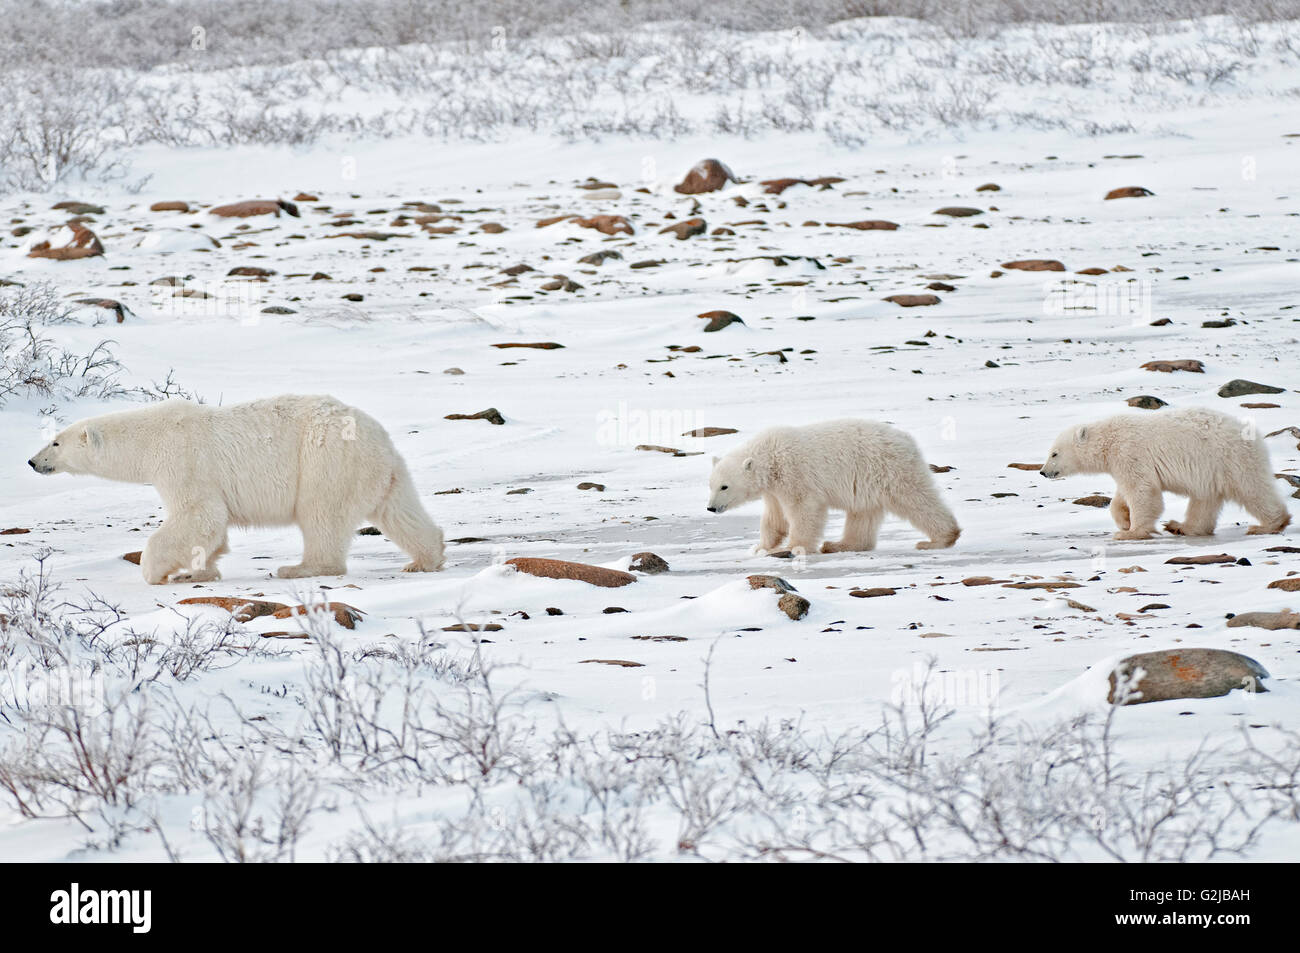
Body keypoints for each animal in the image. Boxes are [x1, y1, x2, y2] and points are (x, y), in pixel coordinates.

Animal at [26, 392, 447, 579]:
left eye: (56, 442)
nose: (32, 461)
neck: (150, 437)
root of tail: (379, 439)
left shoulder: (184, 461)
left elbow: (198, 514)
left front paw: (155, 571)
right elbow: (212, 528)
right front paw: (199, 571)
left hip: (323, 460)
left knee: (321, 515)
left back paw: (299, 568)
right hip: (379, 470)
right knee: (400, 510)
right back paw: (424, 559)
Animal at [707, 418, 961, 556]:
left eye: (724, 487)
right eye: (710, 485)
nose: (710, 508)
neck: (771, 456)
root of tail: (908, 441)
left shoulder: (795, 475)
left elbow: (804, 509)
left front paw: (794, 547)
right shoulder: (774, 489)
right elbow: (774, 518)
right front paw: (760, 547)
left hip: (889, 469)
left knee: (916, 499)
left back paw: (939, 539)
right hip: (869, 481)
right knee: (862, 515)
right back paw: (838, 544)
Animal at [1034, 405, 1289, 538]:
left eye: (1054, 453)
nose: (1043, 472)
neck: (1109, 439)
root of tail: (1253, 435)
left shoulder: (1130, 452)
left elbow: (1142, 491)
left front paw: (1131, 532)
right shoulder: (1122, 462)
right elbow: (1123, 494)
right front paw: (1124, 521)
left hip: (1230, 458)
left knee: (1252, 489)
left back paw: (1270, 524)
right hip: (1212, 470)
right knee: (1205, 500)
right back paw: (1182, 526)